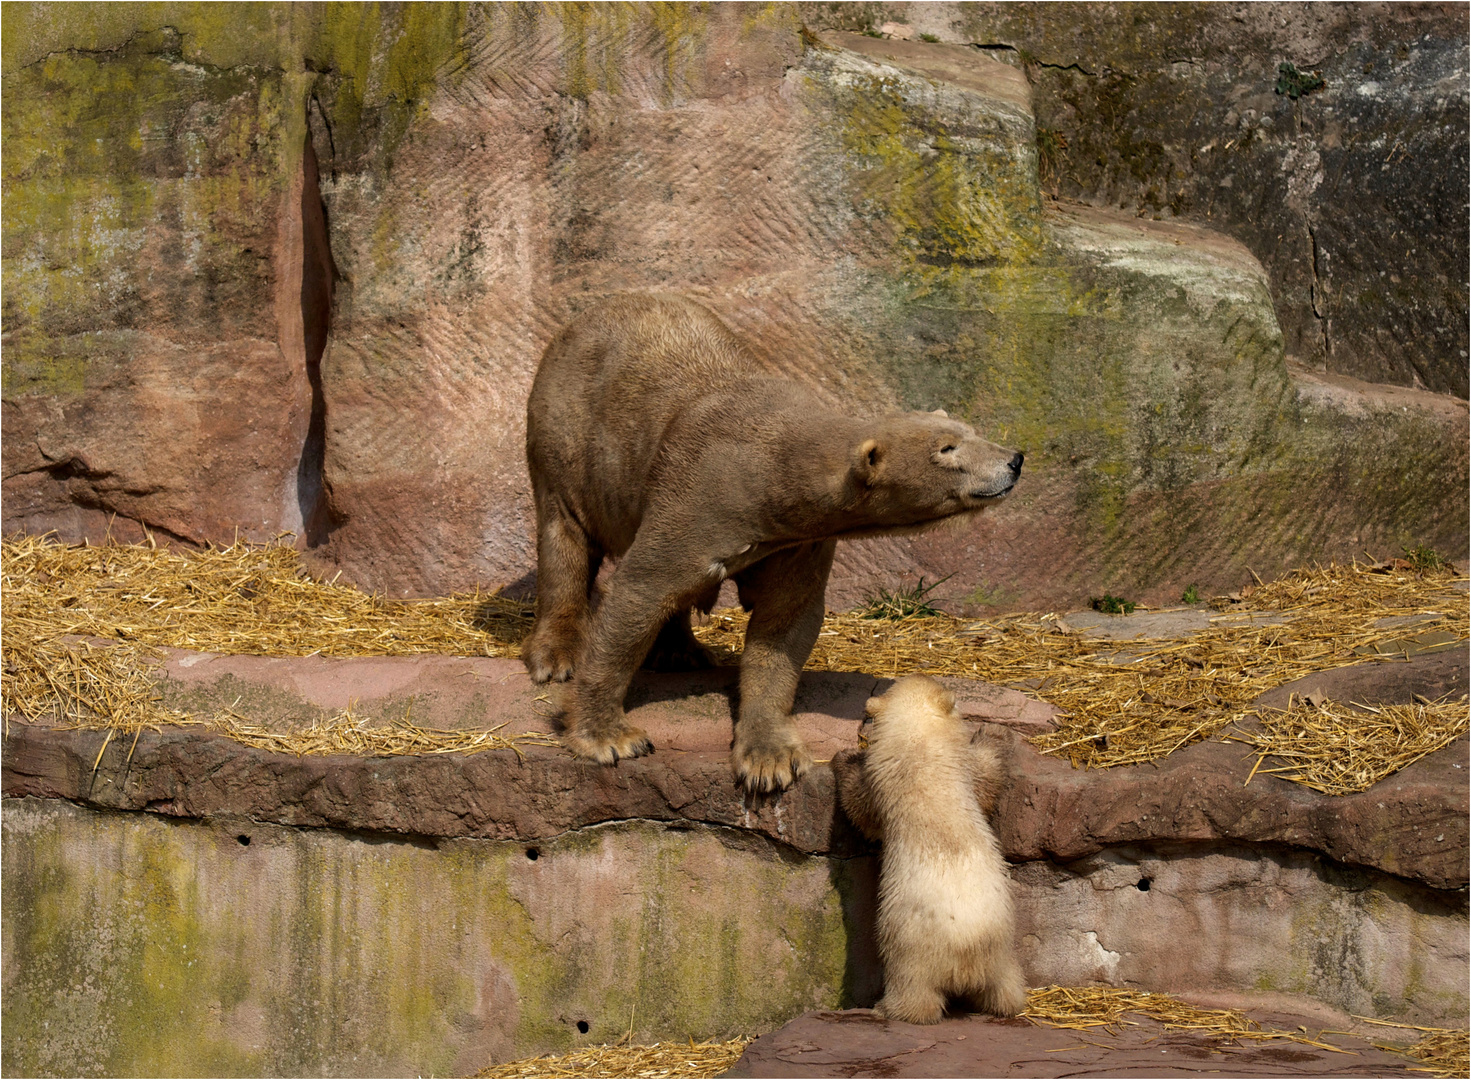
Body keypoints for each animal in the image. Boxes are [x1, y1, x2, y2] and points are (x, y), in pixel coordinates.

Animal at [526, 295, 1023, 794]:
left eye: (970, 430)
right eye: (946, 449)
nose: (1015, 459)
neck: (772, 472)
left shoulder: (796, 540)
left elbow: (784, 625)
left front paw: (770, 761)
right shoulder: (697, 500)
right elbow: (638, 592)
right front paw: (609, 738)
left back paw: (683, 653)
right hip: (564, 433)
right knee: (564, 538)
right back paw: (556, 655)